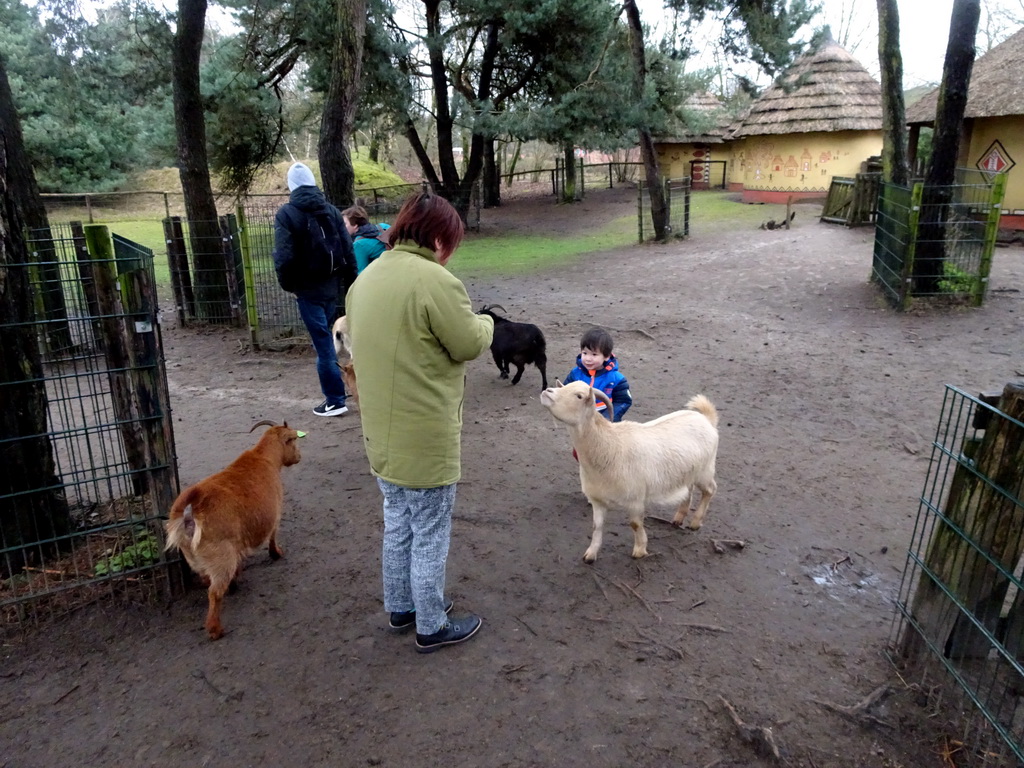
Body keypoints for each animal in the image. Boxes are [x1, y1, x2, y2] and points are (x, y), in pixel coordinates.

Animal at [163, 417, 299, 638]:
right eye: (294, 440)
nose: (298, 457)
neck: (264, 458)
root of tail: (190, 513)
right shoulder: (275, 512)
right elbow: (273, 535)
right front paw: (277, 553)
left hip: (194, 554)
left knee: (206, 579)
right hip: (221, 555)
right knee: (214, 592)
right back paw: (215, 629)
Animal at [540, 382, 716, 561]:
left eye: (579, 396)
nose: (547, 391)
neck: (609, 447)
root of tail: (706, 419)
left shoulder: (635, 500)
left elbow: (635, 524)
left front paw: (640, 550)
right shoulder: (597, 500)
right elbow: (597, 526)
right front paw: (590, 554)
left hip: (705, 470)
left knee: (710, 490)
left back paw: (695, 522)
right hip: (688, 472)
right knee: (689, 490)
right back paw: (679, 518)